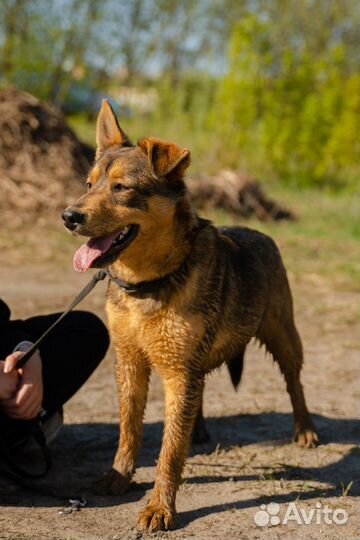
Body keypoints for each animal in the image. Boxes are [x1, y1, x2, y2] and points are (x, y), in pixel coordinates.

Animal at [62, 100, 318, 532]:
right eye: (88, 183)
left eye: (121, 188)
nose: (68, 216)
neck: (150, 281)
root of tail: (259, 231)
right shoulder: (131, 363)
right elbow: (129, 430)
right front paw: (119, 476)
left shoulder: (179, 370)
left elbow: (169, 451)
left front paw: (160, 506)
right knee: (199, 395)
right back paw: (197, 429)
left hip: (283, 337)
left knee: (294, 384)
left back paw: (305, 430)